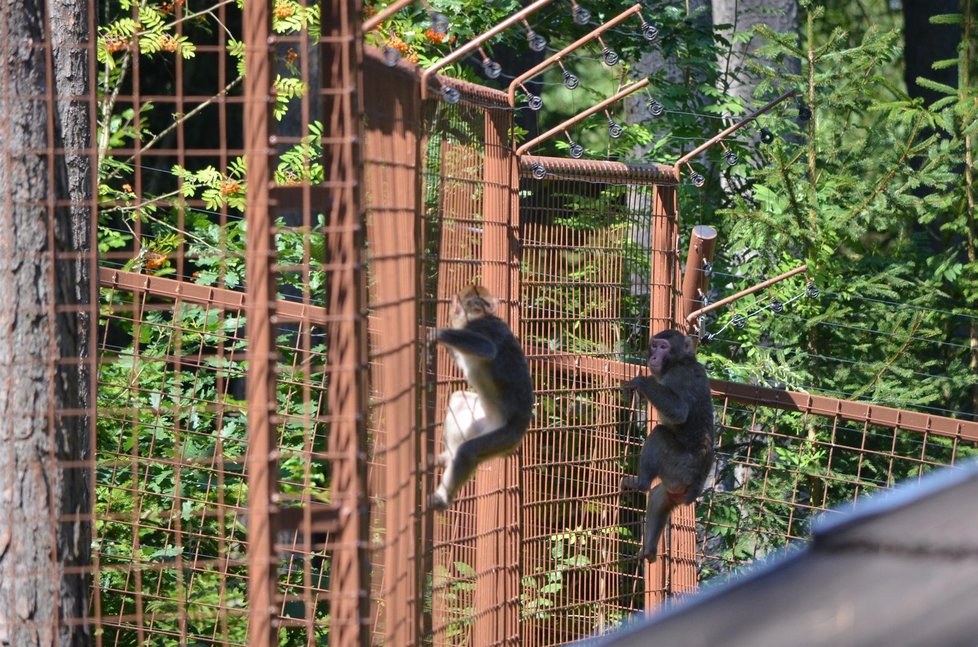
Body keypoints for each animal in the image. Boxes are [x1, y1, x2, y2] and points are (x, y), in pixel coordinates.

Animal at [428, 284, 532, 512]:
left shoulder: (483, 327)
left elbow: (487, 348)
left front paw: (439, 334)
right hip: (482, 426)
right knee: (458, 398)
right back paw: (448, 456)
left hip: (504, 438)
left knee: (468, 452)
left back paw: (442, 498)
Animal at [620, 330, 712, 560]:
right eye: (654, 345)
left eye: (664, 347)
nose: (654, 356)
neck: (680, 361)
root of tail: (695, 487)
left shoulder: (676, 376)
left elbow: (679, 411)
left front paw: (641, 382)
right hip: (675, 486)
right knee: (658, 495)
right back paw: (650, 551)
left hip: (679, 468)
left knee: (659, 434)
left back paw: (640, 483)